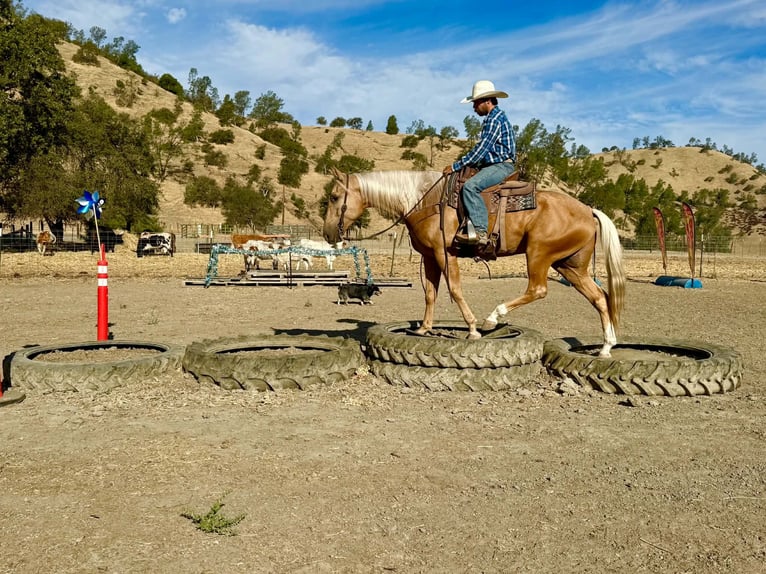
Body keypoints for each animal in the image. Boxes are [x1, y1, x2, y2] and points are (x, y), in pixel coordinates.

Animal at [322, 167, 626, 357]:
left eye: (335, 197)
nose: (327, 233)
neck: (424, 200)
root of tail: (588, 210)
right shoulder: (429, 256)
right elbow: (430, 293)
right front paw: (424, 328)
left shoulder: (446, 254)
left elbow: (455, 290)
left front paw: (471, 329)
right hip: (570, 266)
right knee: (600, 297)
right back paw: (606, 347)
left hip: (539, 254)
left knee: (538, 289)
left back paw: (492, 318)